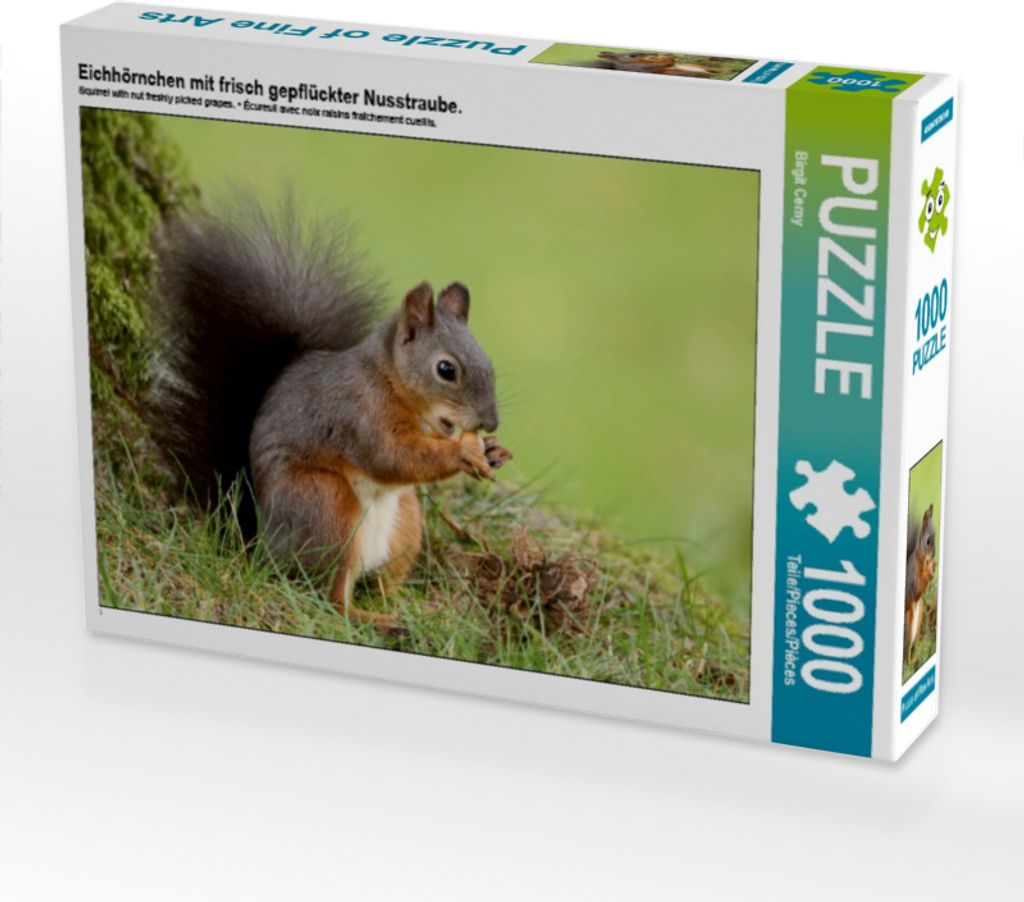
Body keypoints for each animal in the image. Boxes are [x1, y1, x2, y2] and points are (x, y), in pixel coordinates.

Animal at [149, 200, 512, 628]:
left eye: (488, 362)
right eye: (446, 369)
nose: (490, 423)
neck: (388, 380)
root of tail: (261, 545)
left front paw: (494, 451)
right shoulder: (357, 414)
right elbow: (393, 457)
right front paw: (463, 453)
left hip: (405, 525)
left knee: (382, 581)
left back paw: (410, 609)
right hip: (326, 507)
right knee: (329, 597)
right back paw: (377, 619)